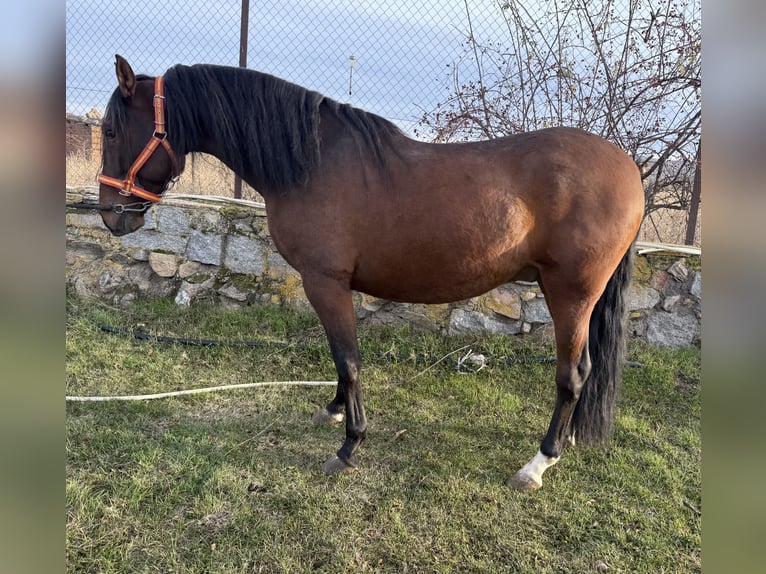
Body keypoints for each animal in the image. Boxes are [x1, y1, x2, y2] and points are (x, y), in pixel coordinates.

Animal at [97, 55, 644, 490]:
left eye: (110, 130)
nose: (110, 215)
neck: (312, 162)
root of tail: (629, 170)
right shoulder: (335, 287)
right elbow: (341, 357)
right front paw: (334, 410)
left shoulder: (325, 282)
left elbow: (349, 360)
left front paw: (348, 446)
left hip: (570, 294)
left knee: (572, 375)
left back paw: (538, 463)